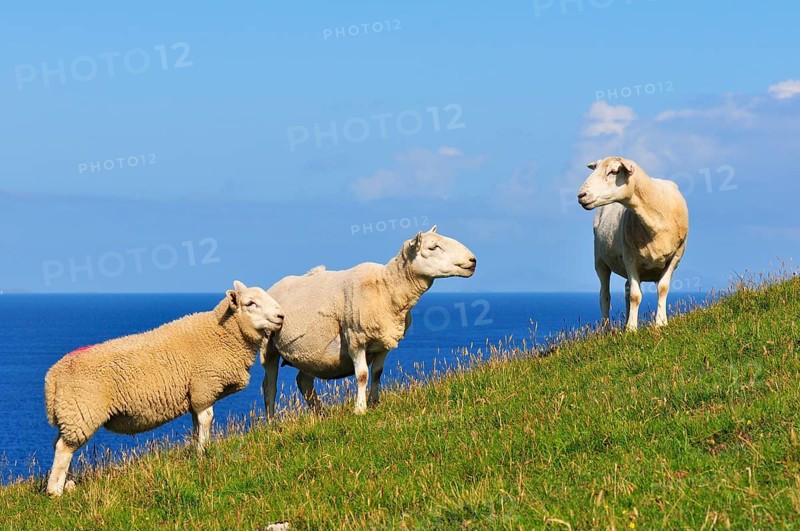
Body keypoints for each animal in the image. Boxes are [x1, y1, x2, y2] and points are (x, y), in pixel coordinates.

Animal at [44, 280, 284, 497]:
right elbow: (206, 420)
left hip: (71, 415)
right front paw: (203, 453)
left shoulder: (193, 394)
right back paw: (55, 491)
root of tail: (52, 377)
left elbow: (196, 424)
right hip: (82, 412)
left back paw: (68, 484)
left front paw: (196, 449)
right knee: (64, 449)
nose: (281, 316)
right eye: (250, 303)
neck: (221, 333)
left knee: (61, 445)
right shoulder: (203, 388)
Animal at [261, 226, 476, 417]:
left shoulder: (383, 342)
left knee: (304, 382)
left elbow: (377, 373)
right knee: (269, 386)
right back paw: (272, 423)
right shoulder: (356, 339)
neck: (386, 287)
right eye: (433, 247)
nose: (472, 260)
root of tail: (273, 287)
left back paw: (322, 415)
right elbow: (363, 374)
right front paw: (360, 409)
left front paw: (374, 403)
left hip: (310, 353)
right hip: (268, 347)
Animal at [577, 156, 689, 331]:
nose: (581, 195)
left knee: (626, 289)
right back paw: (606, 329)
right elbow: (636, 296)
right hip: (600, 261)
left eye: (613, 171)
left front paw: (660, 323)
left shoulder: (676, 256)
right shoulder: (629, 258)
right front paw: (631, 329)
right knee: (604, 296)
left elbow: (662, 289)